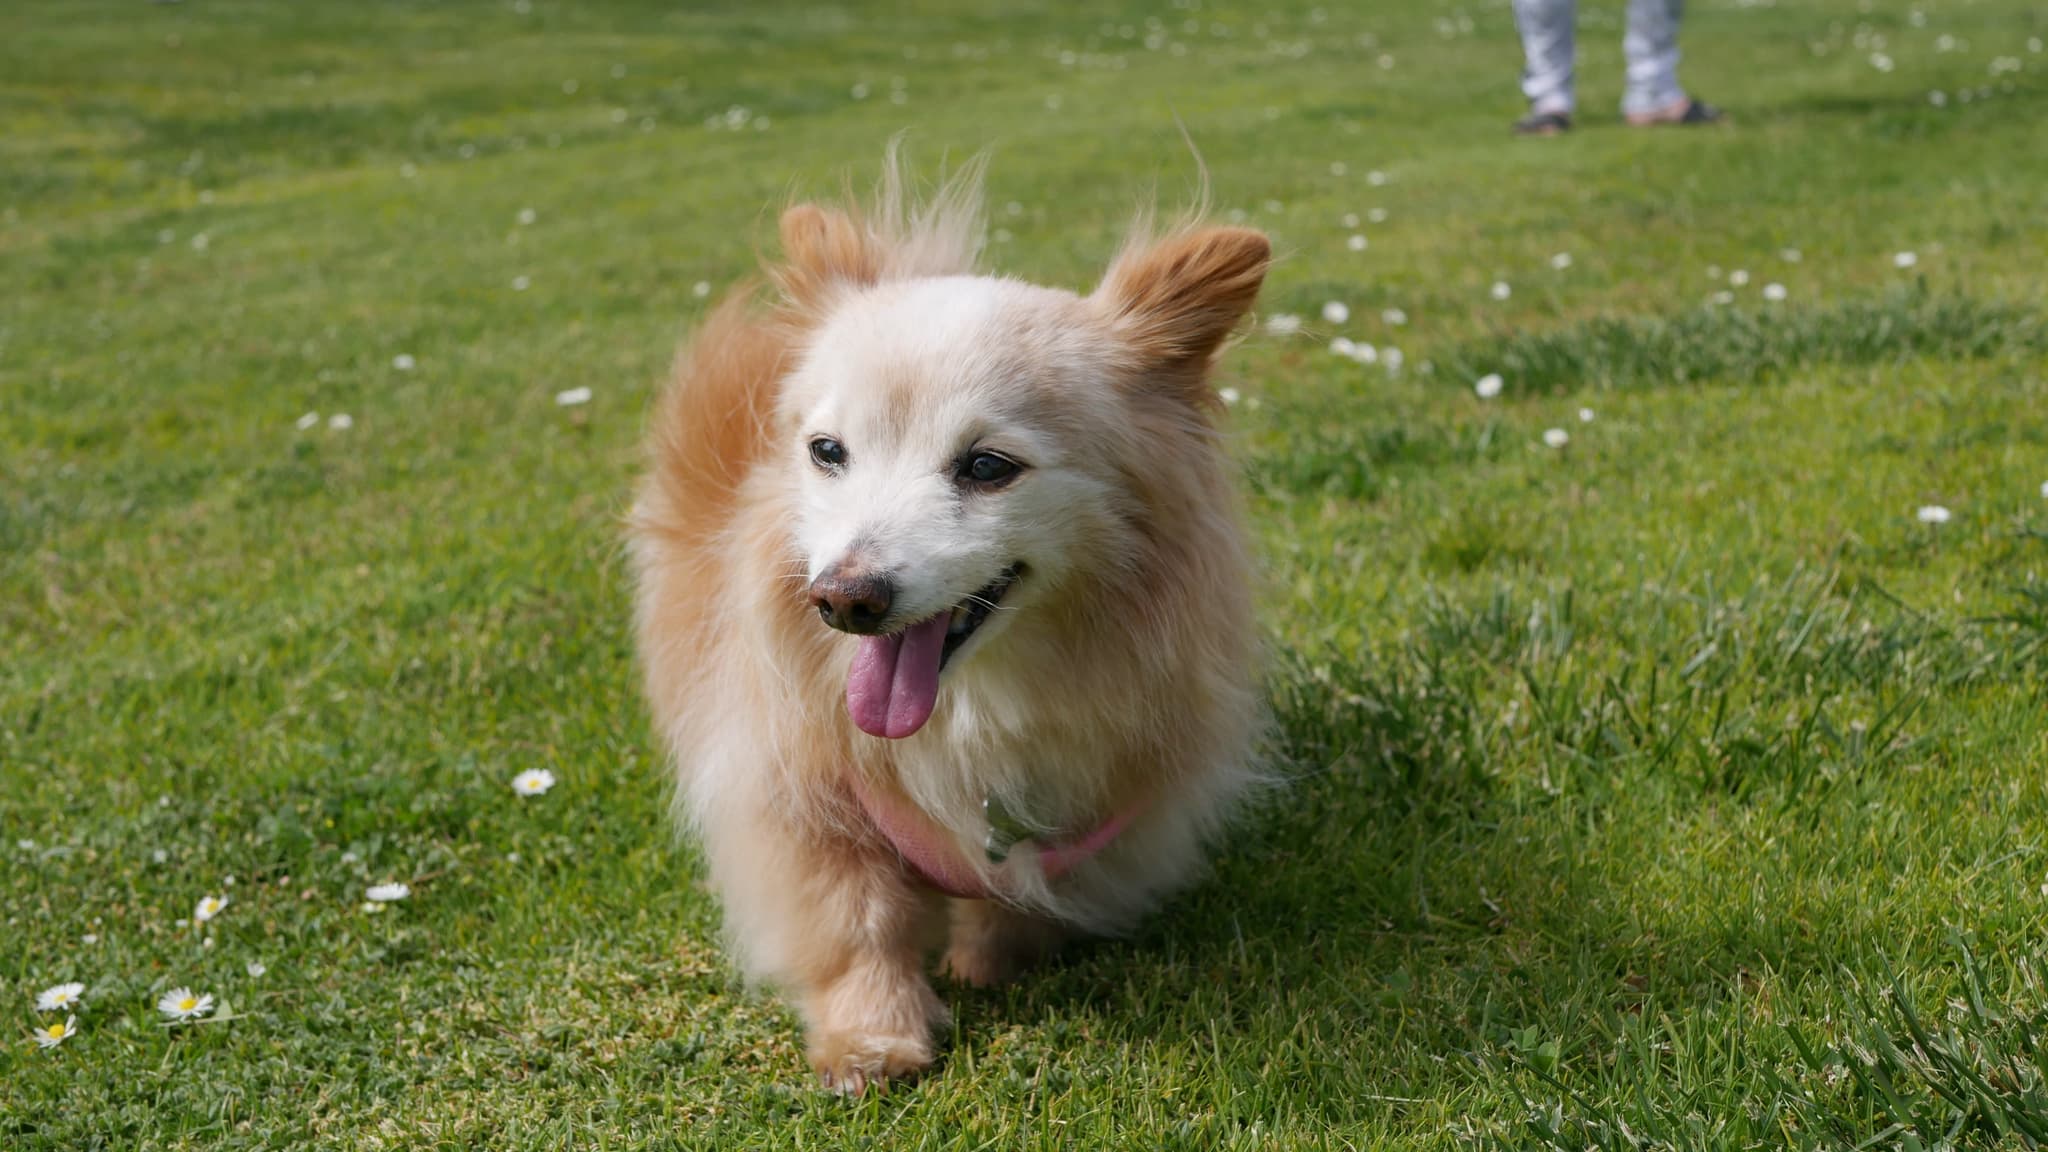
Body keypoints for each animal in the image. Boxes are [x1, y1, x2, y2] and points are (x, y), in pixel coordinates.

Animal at [626, 154, 1261, 1082]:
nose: (843, 599)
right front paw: (872, 1038)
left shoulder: (1094, 815)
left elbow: (1023, 894)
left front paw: (991, 962)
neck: (970, 711)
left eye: (989, 467)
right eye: (826, 452)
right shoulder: (800, 798)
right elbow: (857, 921)